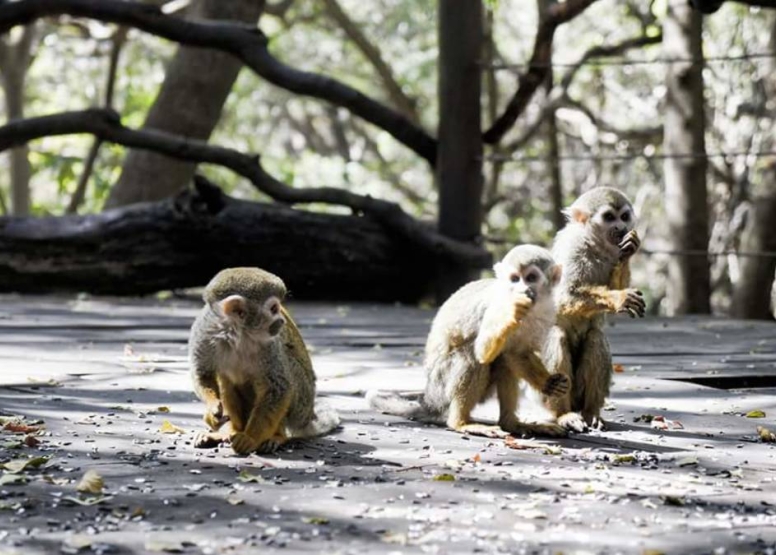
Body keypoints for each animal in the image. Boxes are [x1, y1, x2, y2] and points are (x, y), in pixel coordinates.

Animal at [189, 267, 340, 455]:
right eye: (274, 308)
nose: (281, 320)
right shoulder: (204, 332)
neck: (237, 333)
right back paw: (231, 431)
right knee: (226, 379)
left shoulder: (269, 344)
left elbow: (278, 388)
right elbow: (202, 374)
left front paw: (250, 438)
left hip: (302, 405)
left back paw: (277, 436)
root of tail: (308, 418)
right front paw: (212, 409)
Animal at [367, 245, 570, 439]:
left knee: (503, 361)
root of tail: (430, 396)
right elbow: (482, 351)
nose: (521, 290)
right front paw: (512, 311)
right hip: (441, 383)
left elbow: (517, 353)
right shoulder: (496, 305)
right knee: (472, 356)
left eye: (531, 277)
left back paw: (511, 423)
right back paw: (461, 423)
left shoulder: (549, 310)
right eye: (514, 279)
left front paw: (549, 382)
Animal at [542, 187, 646, 433]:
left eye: (624, 217)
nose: (621, 228)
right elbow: (565, 296)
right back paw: (564, 414)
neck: (594, 244)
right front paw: (620, 298)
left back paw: (591, 412)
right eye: (609, 217)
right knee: (556, 335)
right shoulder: (573, 247)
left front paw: (630, 249)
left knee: (596, 337)